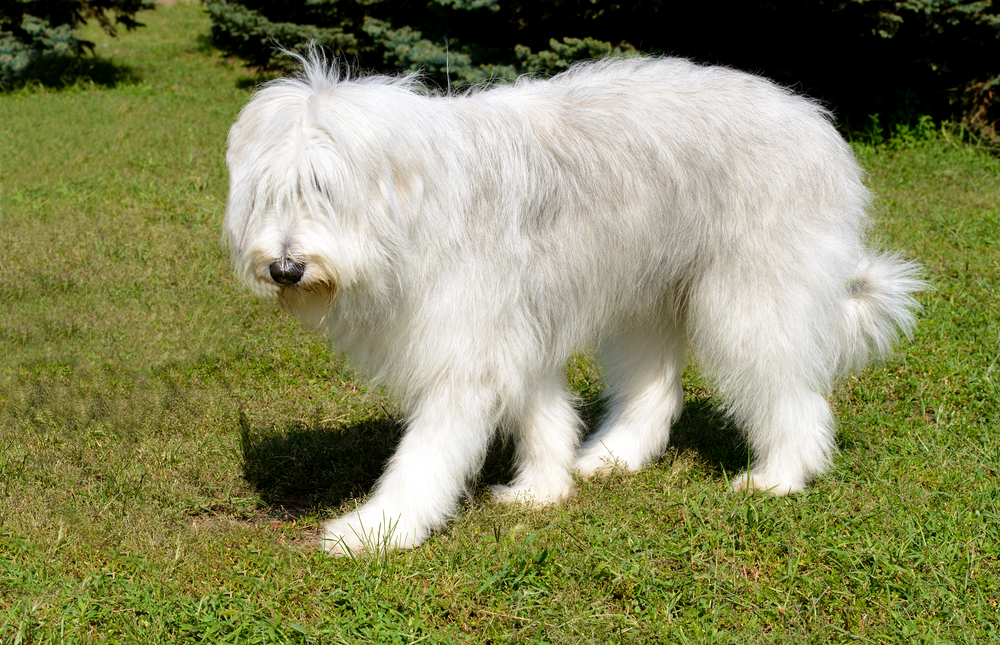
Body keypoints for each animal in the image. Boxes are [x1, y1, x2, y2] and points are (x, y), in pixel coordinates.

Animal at [225, 52, 920, 552]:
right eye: (266, 193)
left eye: (323, 187)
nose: (285, 268)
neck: (419, 201)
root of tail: (813, 119)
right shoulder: (516, 329)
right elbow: (543, 413)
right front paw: (542, 489)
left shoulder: (469, 348)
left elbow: (426, 454)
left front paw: (376, 529)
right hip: (645, 297)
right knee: (656, 392)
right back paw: (611, 458)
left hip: (751, 297)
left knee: (794, 397)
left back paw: (779, 477)